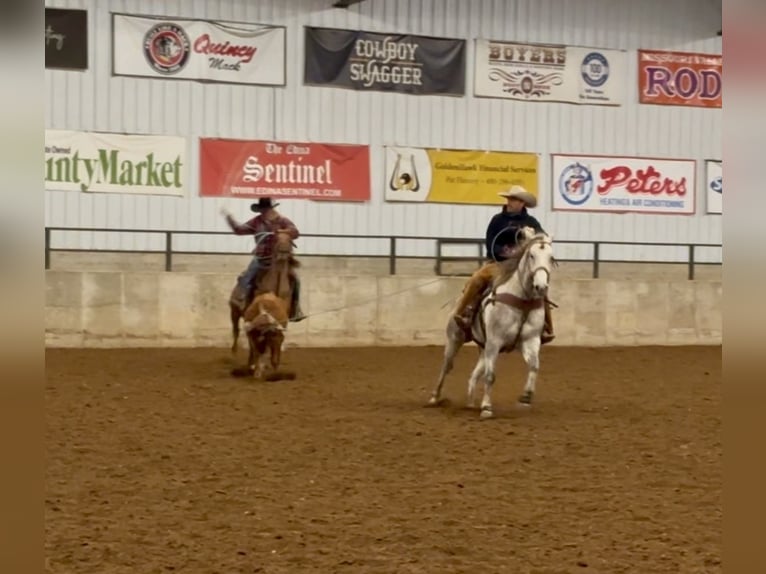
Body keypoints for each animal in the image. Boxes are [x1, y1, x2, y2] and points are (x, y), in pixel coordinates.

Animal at [426, 231, 560, 424]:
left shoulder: (530, 340)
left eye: (551, 257)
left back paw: (470, 402)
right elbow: (491, 376)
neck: (522, 301)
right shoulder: (495, 342)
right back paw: (434, 398)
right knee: (447, 366)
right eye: (531, 255)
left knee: (474, 374)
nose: (541, 287)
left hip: (484, 348)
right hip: (456, 338)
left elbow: (534, 366)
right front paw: (487, 408)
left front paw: (526, 397)